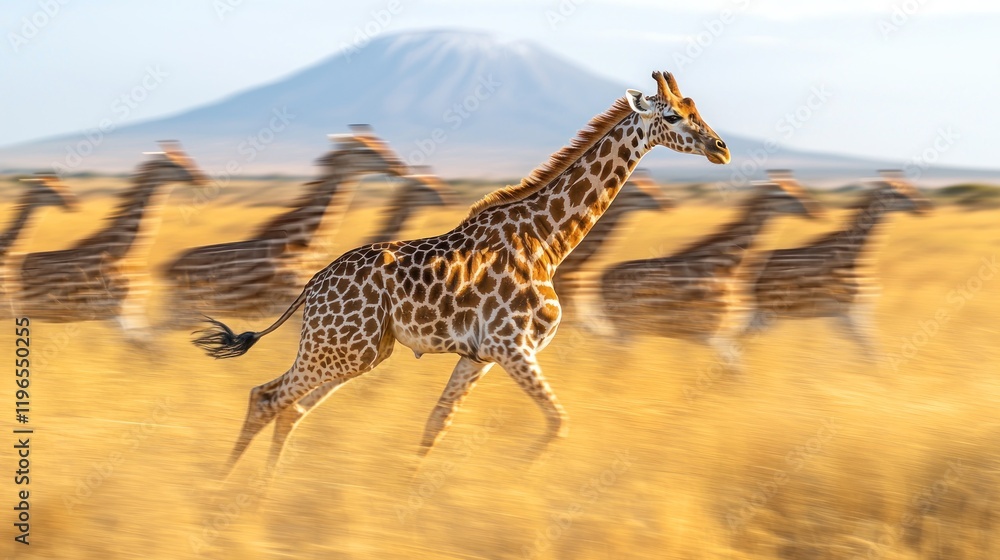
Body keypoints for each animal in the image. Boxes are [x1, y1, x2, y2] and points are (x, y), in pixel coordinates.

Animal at [15, 143, 206, 336]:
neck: (127, 251)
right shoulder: (112, 310)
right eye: (172, 164)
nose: (201, 178)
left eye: (187, 158)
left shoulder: (131, 308)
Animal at [160, 130, 409, 324]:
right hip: (186, 308)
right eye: (365, 150)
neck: (304, 238)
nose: (400, 167)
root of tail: (167, 267)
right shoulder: (296, 297)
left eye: (380, 143)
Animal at [597, 172, 822, 373]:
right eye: (786, 195)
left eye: (800, 189)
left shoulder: (720, 333)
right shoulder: (709, 334)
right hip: (627, 328)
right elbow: (735, 371)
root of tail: (602, 278)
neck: (727, 265)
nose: (816, 212)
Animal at [747, 170, 932, 360]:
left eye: (912, 187)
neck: (855, 255)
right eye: (897, 192)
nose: (926, 207)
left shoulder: (858, 311)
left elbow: (870, 350)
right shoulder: (845, 312)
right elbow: (869, 351)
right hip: (766, 310)